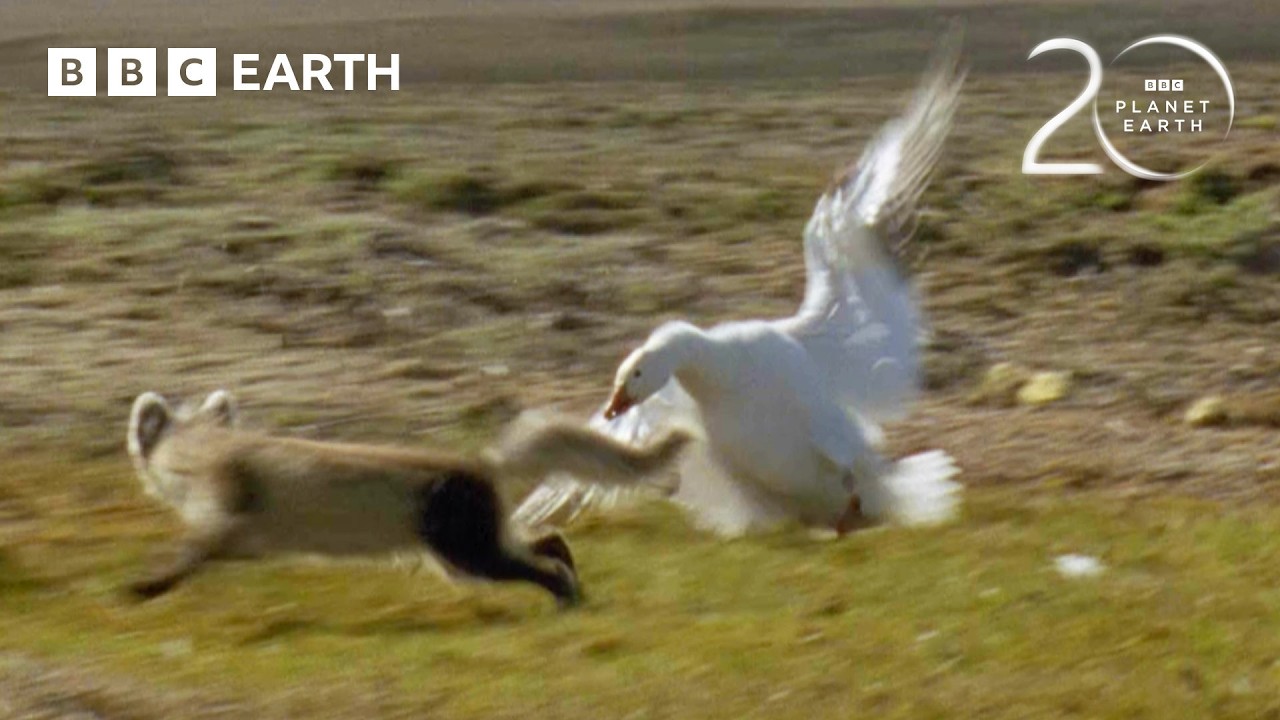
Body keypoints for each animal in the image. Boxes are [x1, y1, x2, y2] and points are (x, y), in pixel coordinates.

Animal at [125, 390, 691, 608]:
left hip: (460, 547)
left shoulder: (224, 503)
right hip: (474, 538)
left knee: (528, 563)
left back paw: (564, 595)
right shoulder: (246, 534)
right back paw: (572, 581)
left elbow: (196, 546)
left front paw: (145, 585)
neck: (207, 454)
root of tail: (480, 464)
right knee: (546, 540)